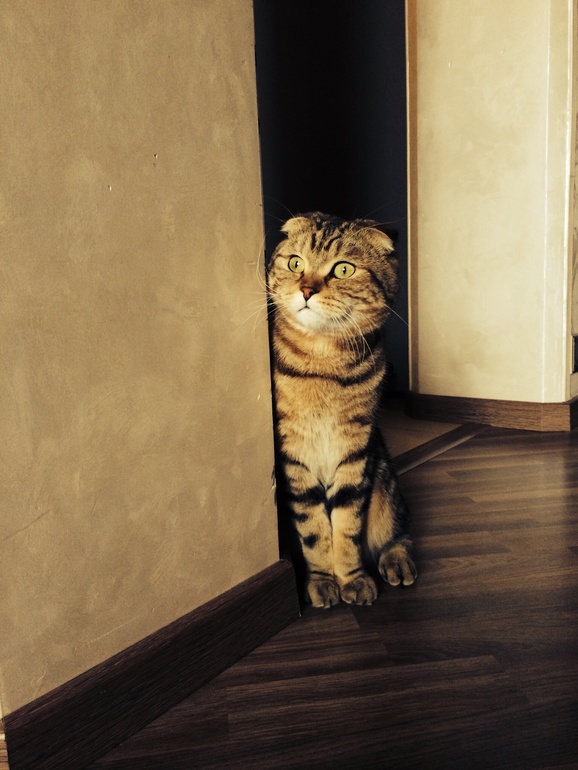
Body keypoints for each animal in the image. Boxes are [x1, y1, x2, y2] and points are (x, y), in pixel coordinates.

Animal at [267, 212, 416, 608]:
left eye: (344, 269)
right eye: (295, 263)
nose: (306, 290)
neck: (324, 364)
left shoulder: (354, 451)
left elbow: (347, 526)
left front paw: (353, 579)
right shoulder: (294, 456)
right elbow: (314, 529)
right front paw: (322, 581)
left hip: (383, 481)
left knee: (397, 531)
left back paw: (397, 562)